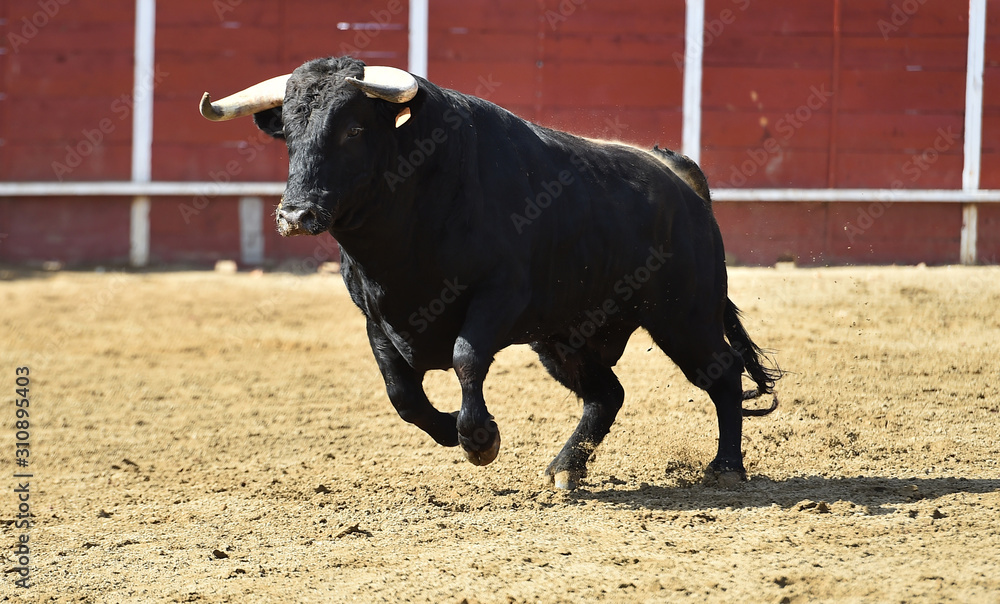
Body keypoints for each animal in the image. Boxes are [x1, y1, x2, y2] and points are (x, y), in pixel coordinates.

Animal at [200, 56, 780, 489]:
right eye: (290, 134)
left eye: (355, 129)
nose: (296, 215)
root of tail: (679, 178)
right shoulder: (374, 315)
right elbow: (401, 392)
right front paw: (450, 432)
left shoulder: (499, 296)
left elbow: (465, 356)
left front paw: (480, 440)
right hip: (563, 337)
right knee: (607, 394)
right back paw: (565, 470)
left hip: (685, 317)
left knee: (723, 373)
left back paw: (725, 468)